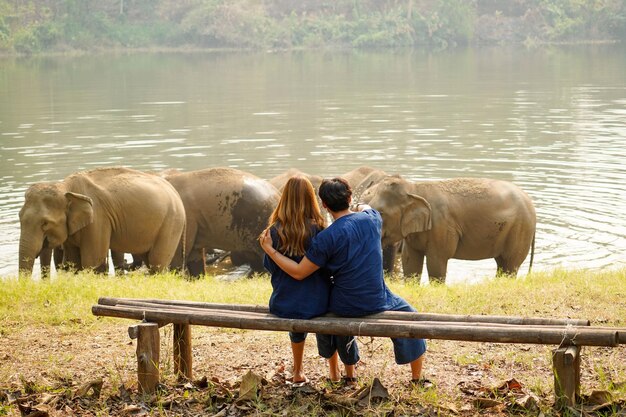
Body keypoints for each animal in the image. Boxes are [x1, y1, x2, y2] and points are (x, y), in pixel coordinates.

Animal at [18, 166, 185, 276]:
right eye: (19, 217)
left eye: (45, 223)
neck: (65, 187)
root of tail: (175, 192)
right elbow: (74, 261)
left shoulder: (98, 219)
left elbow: (91, 260)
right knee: (149, 258)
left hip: (171, 222)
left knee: (157, 261)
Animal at [364, 174, 532, 282]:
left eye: (381, 213)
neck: (414, 188)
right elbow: (410, 261)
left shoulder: (441, 226)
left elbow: (436, 262)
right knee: (502, 265)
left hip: (520, 230)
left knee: (510, 265)